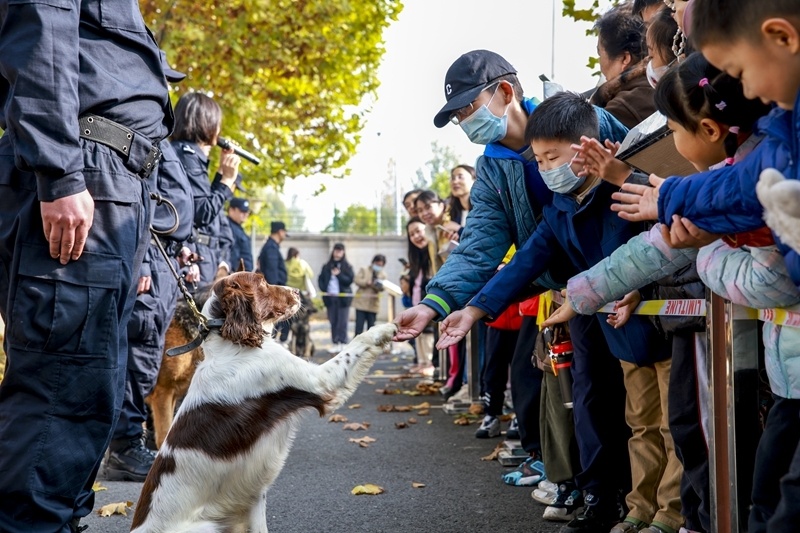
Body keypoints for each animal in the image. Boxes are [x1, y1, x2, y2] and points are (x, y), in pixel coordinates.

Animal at [130, 272, 396, 528]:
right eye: (262, 282)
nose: (297, 291)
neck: (232, 346)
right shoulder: (320, 381)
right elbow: (357, 343)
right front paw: (387, 328)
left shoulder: (255, 499)